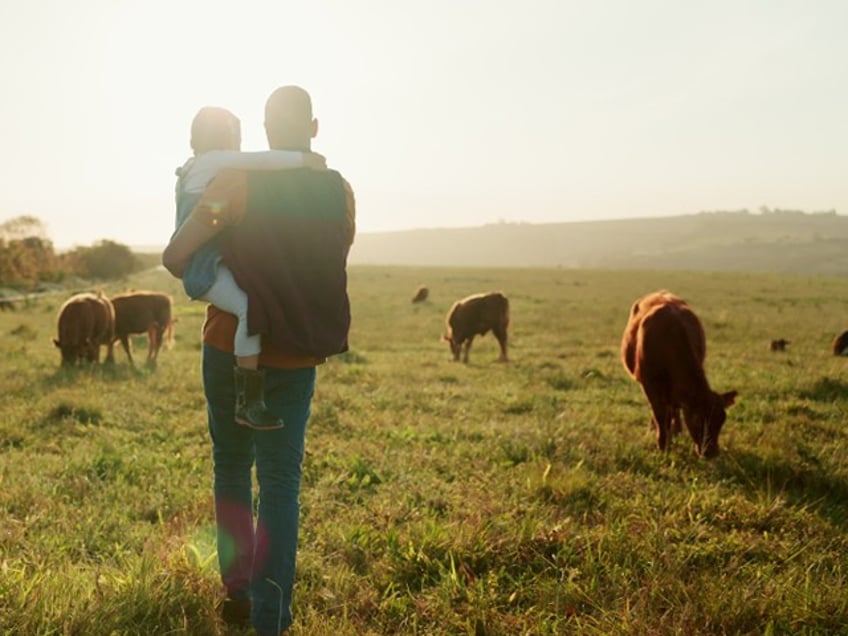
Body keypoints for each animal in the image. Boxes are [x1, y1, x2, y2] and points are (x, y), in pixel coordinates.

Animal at [620, 290, 740, 460]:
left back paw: (676, 430)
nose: (711, 452)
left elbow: (670, 412)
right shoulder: (650, 385)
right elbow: (660, 415)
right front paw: (663, 446)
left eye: (721, 420)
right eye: (697, 419)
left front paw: (670, 437)